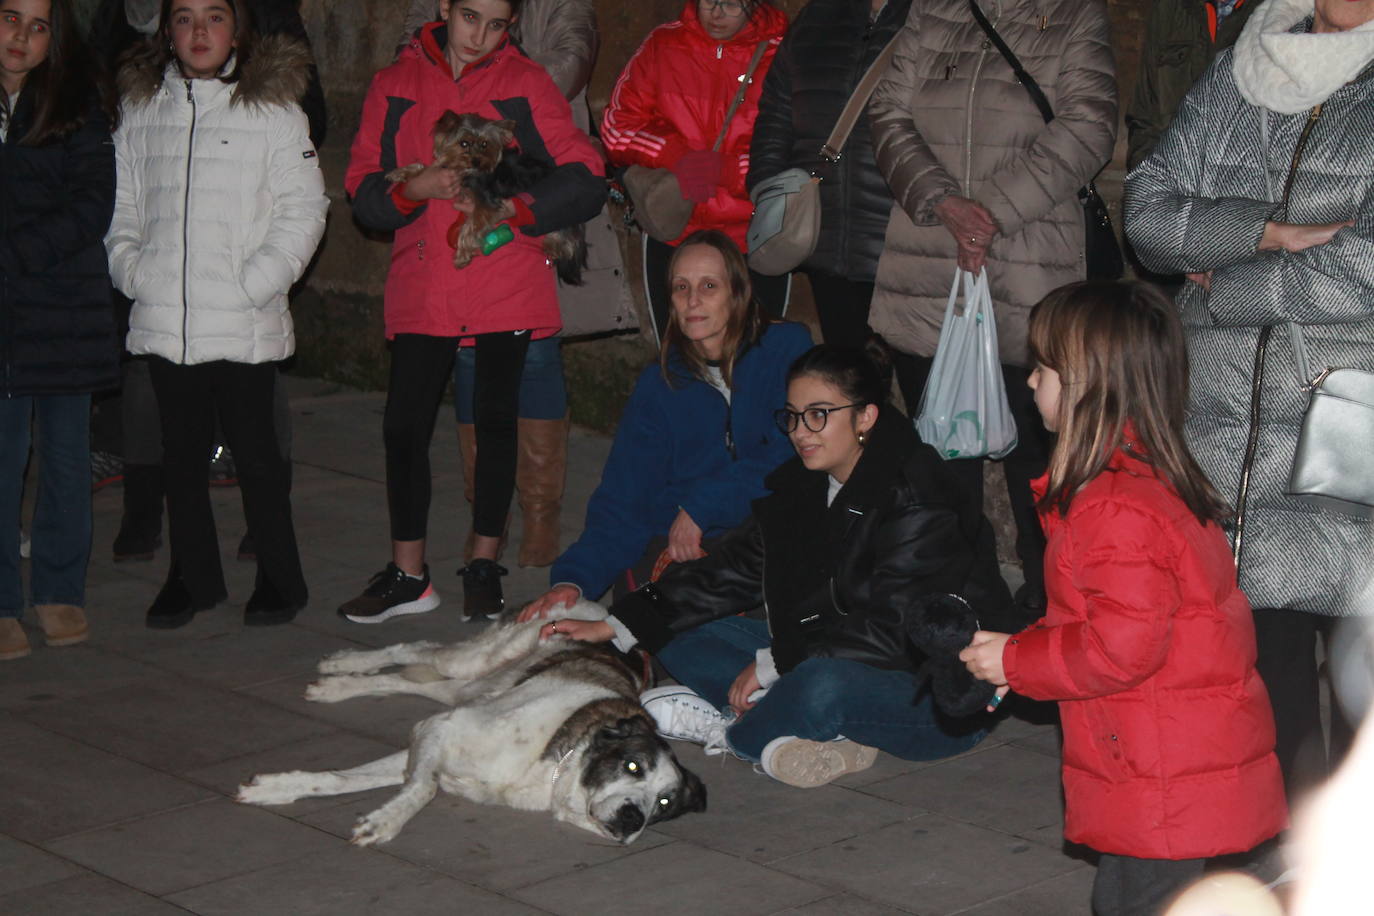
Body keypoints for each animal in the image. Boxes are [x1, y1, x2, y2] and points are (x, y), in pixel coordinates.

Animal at [236, 601, 703, 845]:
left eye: (664, 803)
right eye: (632, 766)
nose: (633, 818)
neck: (557, 769)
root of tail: (593, 604)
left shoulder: (427, 735)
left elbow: (339, 779)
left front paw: (276, 788)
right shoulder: (440, 730)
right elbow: (422, 789)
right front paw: (385, 823)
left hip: (465, 689)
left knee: (408, 678)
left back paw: (337, 686)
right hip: (473, 661)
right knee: (411, 649)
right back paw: (342, 663)